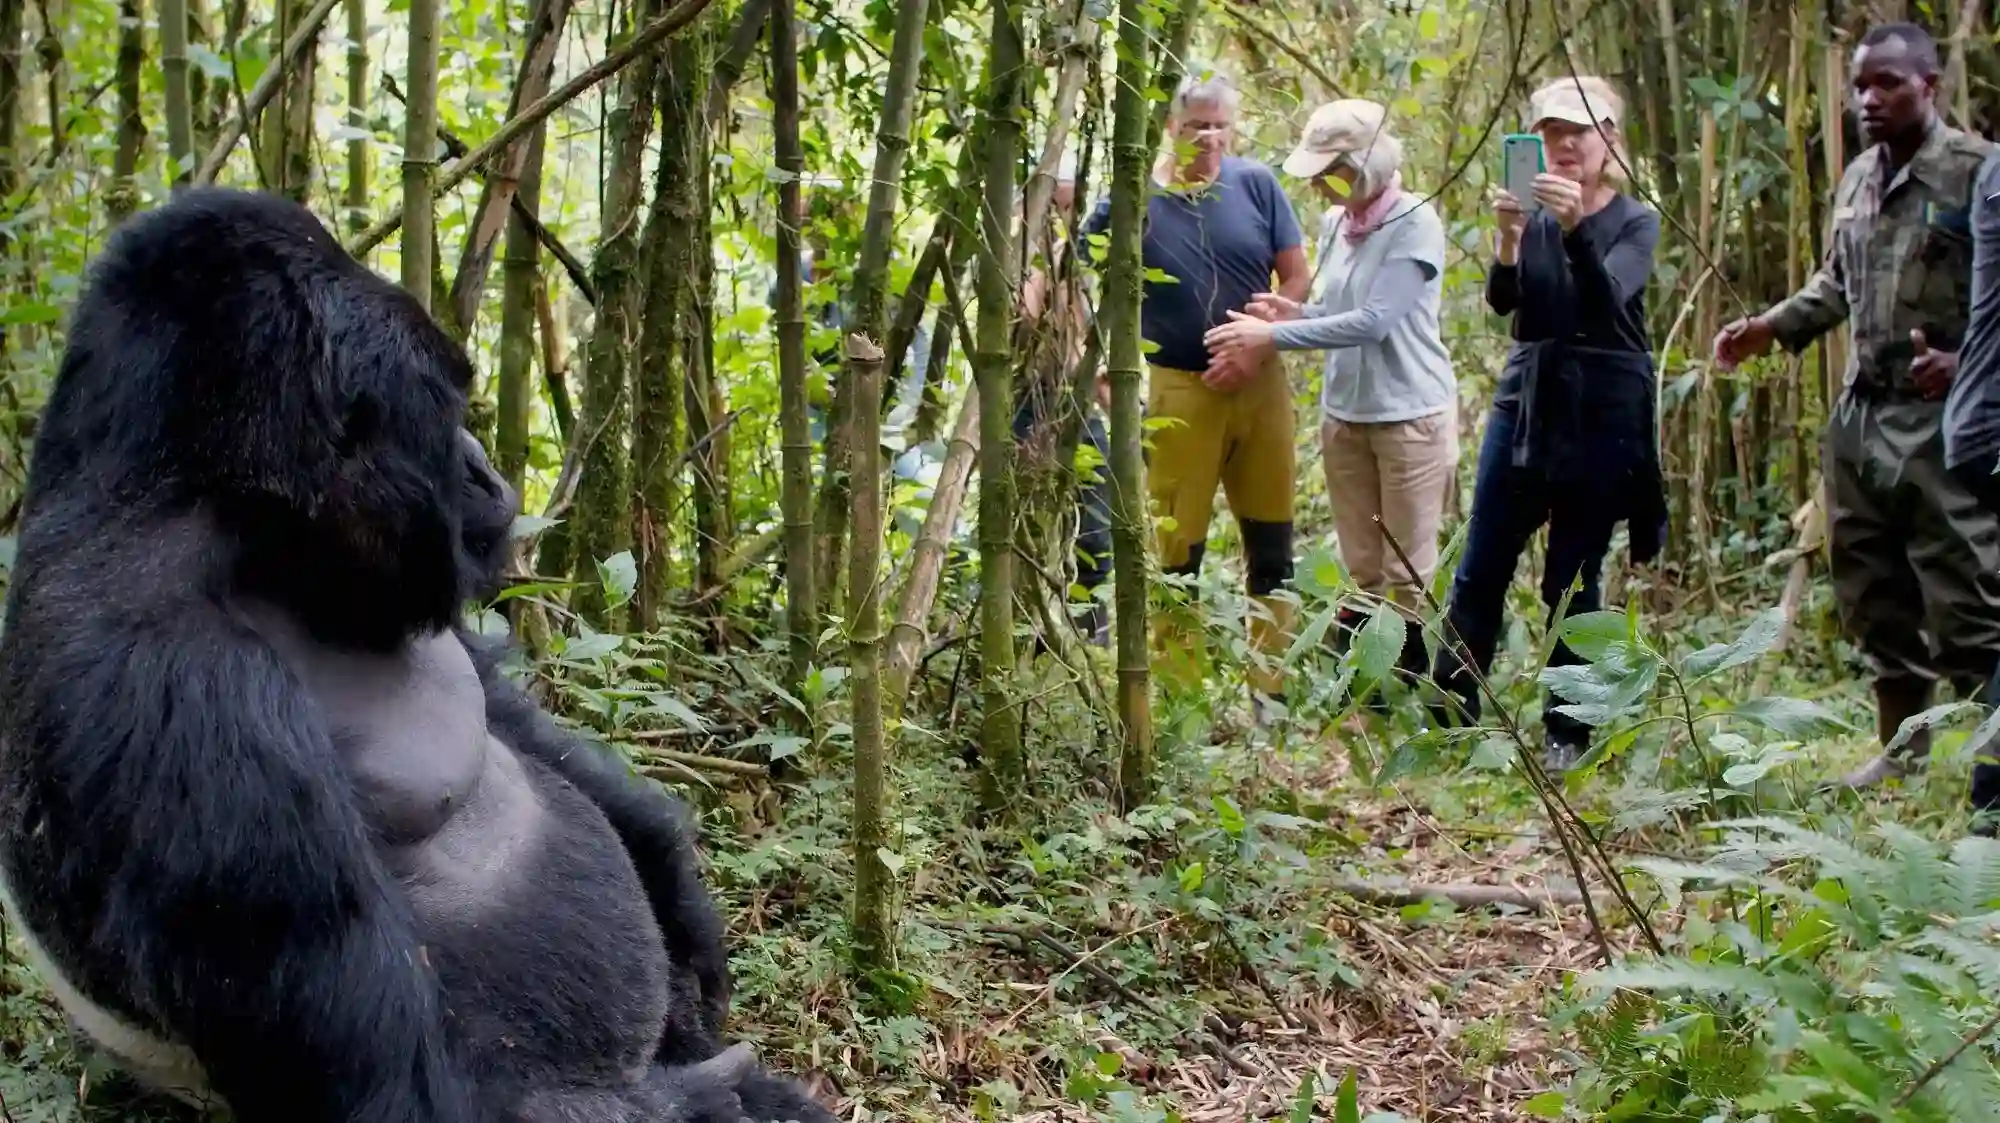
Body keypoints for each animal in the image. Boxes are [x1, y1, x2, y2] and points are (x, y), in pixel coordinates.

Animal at [0, 185, 836, 1119]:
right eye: (444, 410)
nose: (484, 470)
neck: (217, 517)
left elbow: (519, 720)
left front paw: (675, 886)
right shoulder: (182, 690)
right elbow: (394, 1090)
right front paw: (701, 1099)